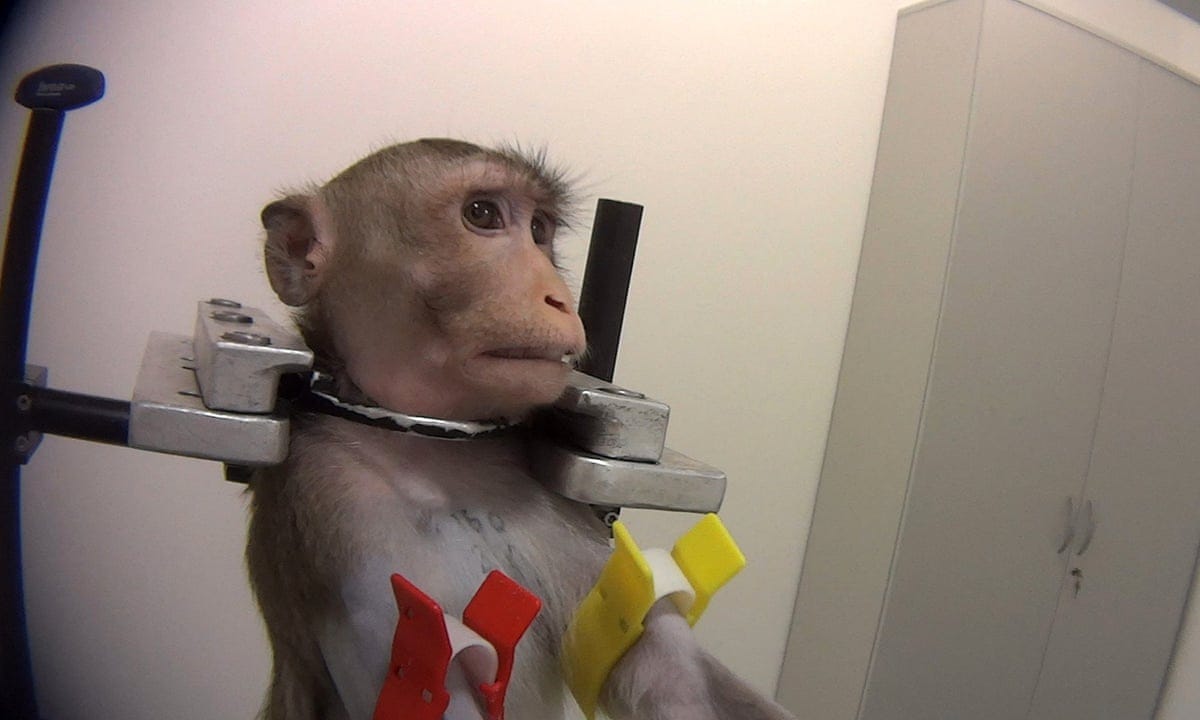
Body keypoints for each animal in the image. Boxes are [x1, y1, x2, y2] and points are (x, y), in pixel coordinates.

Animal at [245, 138, 797, 720]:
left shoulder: (564, 520)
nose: (558, 298)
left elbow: (647, 659)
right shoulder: (338, 512)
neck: (434, 446)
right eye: (482, 214)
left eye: (539, 230)